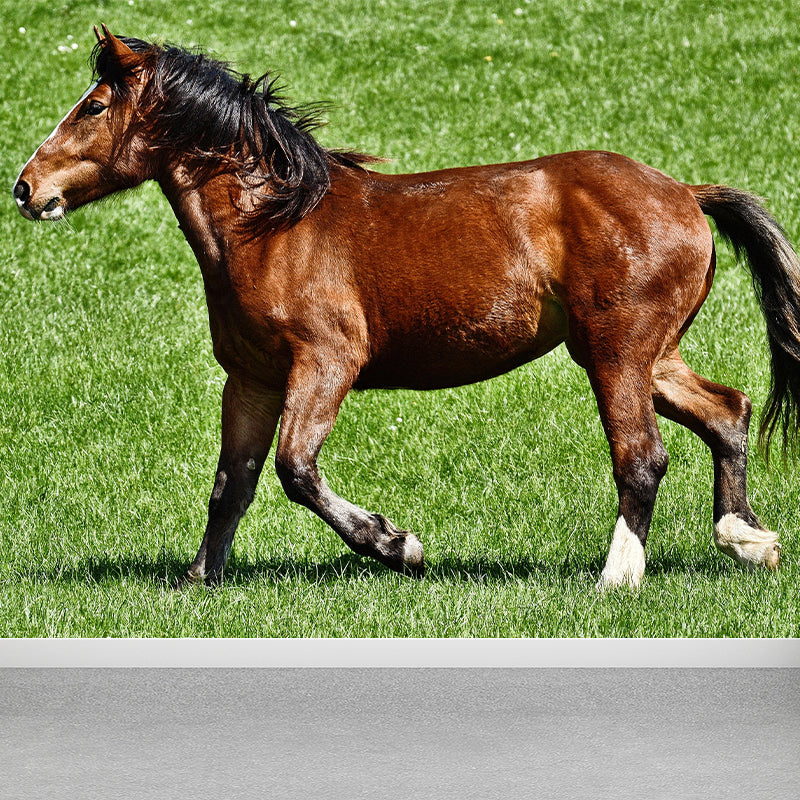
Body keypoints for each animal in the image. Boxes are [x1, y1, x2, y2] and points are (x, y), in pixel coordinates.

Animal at [13, 26, 799, 589]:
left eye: (94, 106)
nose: (25, 188)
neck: (274, 226)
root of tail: (686, 193)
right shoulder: (253, 378)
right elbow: (230, 485)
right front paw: (198, 581)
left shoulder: (326, 363)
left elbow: (296, 470)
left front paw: (399, 546)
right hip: (649, 356)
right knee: (728, 412)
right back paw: (747, 539)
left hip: (617, 354)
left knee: (642, 458)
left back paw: (618, 578)